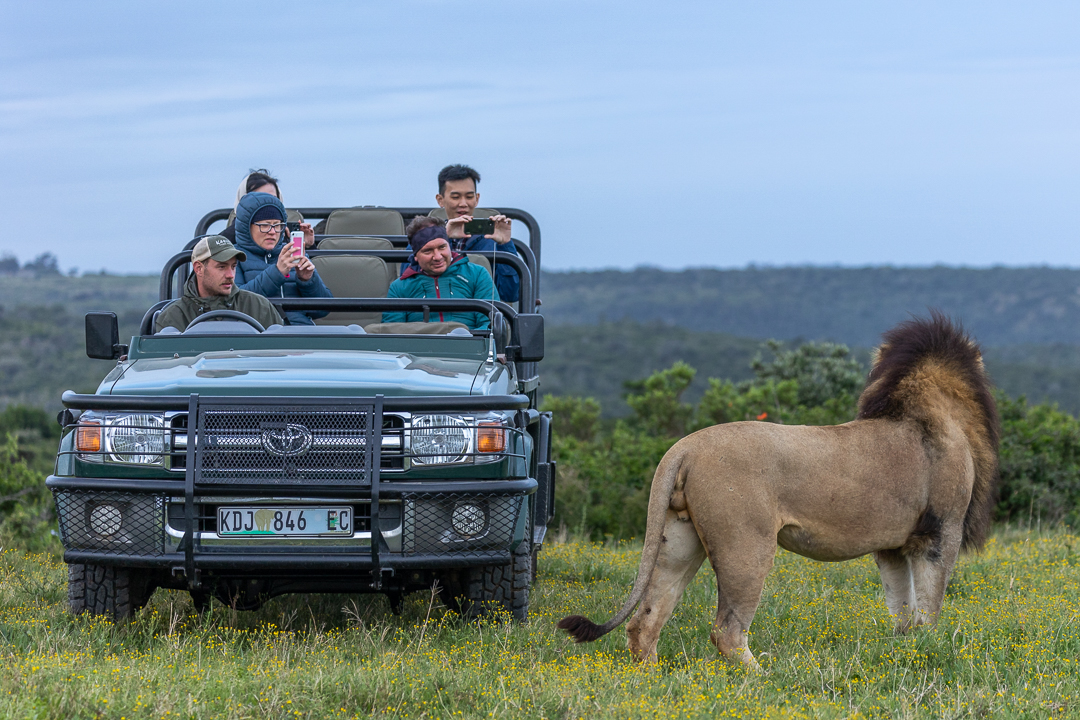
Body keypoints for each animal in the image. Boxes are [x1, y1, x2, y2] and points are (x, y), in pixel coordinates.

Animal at [561, 315, 997, 669]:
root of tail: (683, 447)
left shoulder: (891, 545)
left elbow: (901, 608)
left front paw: (904, 650)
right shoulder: (939, 533)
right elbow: (929, 607)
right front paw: (929, 649)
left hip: (679, 538)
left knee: (646, 619)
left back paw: (651, 675)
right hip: (746, 546)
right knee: (726, 631)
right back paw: (764, 677)